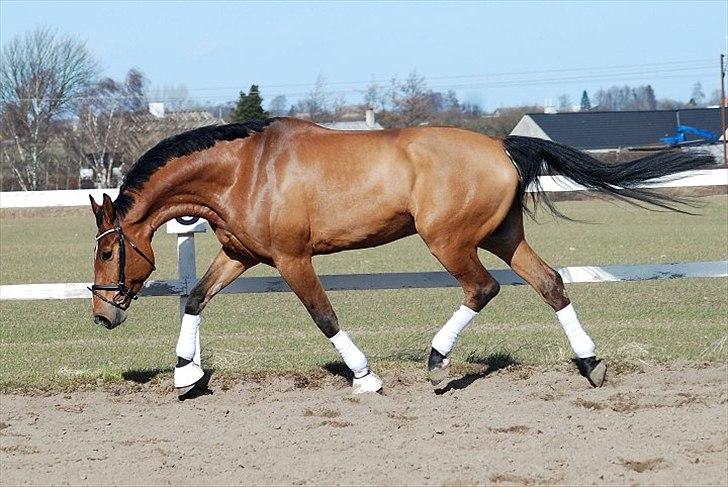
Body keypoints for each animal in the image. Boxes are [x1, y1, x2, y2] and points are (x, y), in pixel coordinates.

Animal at [88, 118, 712, 396]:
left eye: (109, 249)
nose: (102, 314)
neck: (246, 171)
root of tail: (501, 145)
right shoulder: (243, 255)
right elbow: (195, 297)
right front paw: (185, 374)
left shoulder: (292, 259)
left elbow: (324, 316)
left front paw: (365, 377)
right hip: (501, 236)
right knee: (550, 282)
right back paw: (591, 364)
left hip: (451, 240)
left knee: (482, 289)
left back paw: (437, 364)